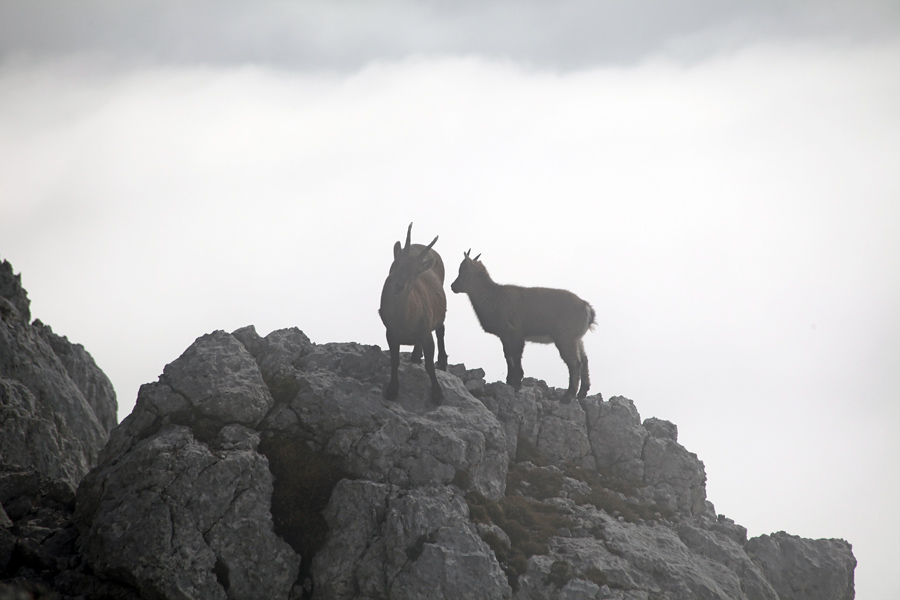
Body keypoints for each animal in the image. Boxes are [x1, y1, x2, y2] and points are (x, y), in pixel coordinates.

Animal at [379, 223, 448, 403]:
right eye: (397, 263)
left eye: (416, 271)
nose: (399, 286)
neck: (405, 320)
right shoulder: (390, 333)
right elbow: (394, 361)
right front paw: (392, 390)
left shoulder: (426, 333)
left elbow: (430, 365)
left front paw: (437, 394)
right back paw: (416, 355)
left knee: (441, 329)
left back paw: (442, 361)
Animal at [451, 250, 595, 402]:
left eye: (462, 271)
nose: (453, 286)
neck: (494, 297)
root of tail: (587, 308)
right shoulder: (505, 336)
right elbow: (508, 357)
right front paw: (510, 382)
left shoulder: (514, 333)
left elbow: (515, 357)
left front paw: (516, 383)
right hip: (576, 338)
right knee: (584, 360)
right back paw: (582, 393)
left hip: (565, 337)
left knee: (575, 363)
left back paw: (568, 396)